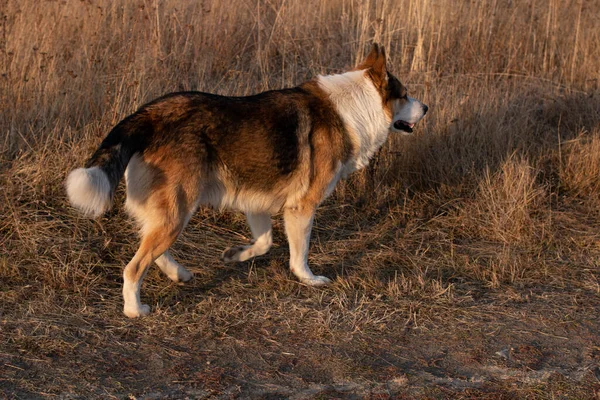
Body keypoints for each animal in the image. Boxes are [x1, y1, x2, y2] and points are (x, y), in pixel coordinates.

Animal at [67, 43, 426, 318]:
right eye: (405, 95)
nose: (425, 107)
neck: (354, 108)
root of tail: (149, 114)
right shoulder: (301, 208)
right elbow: (299, 255)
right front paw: (309, 279)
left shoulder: (257, 203)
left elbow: (264, 243)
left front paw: (234, 255)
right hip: (177, 212)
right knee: (134, 267)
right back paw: (134, 310)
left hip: (169, 214)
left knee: (152, 250)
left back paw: (178, 273)